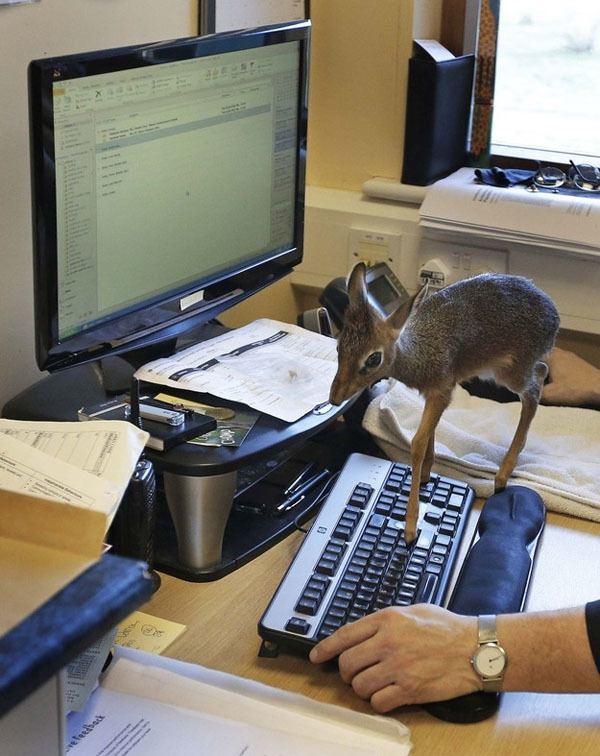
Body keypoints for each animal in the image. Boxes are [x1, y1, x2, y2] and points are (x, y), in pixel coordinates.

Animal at [329, 262, 560, 544]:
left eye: (373, 358)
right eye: (339, 346)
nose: (335, 397)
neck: (418, 357)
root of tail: (554, 314)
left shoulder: (442, 392)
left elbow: (417, 443)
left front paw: (410, 528)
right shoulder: (433, 395)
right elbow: (429, 435)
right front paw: (427, 475)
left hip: (510, 372)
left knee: (535, 387)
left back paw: (502, 475)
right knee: (540, 374)